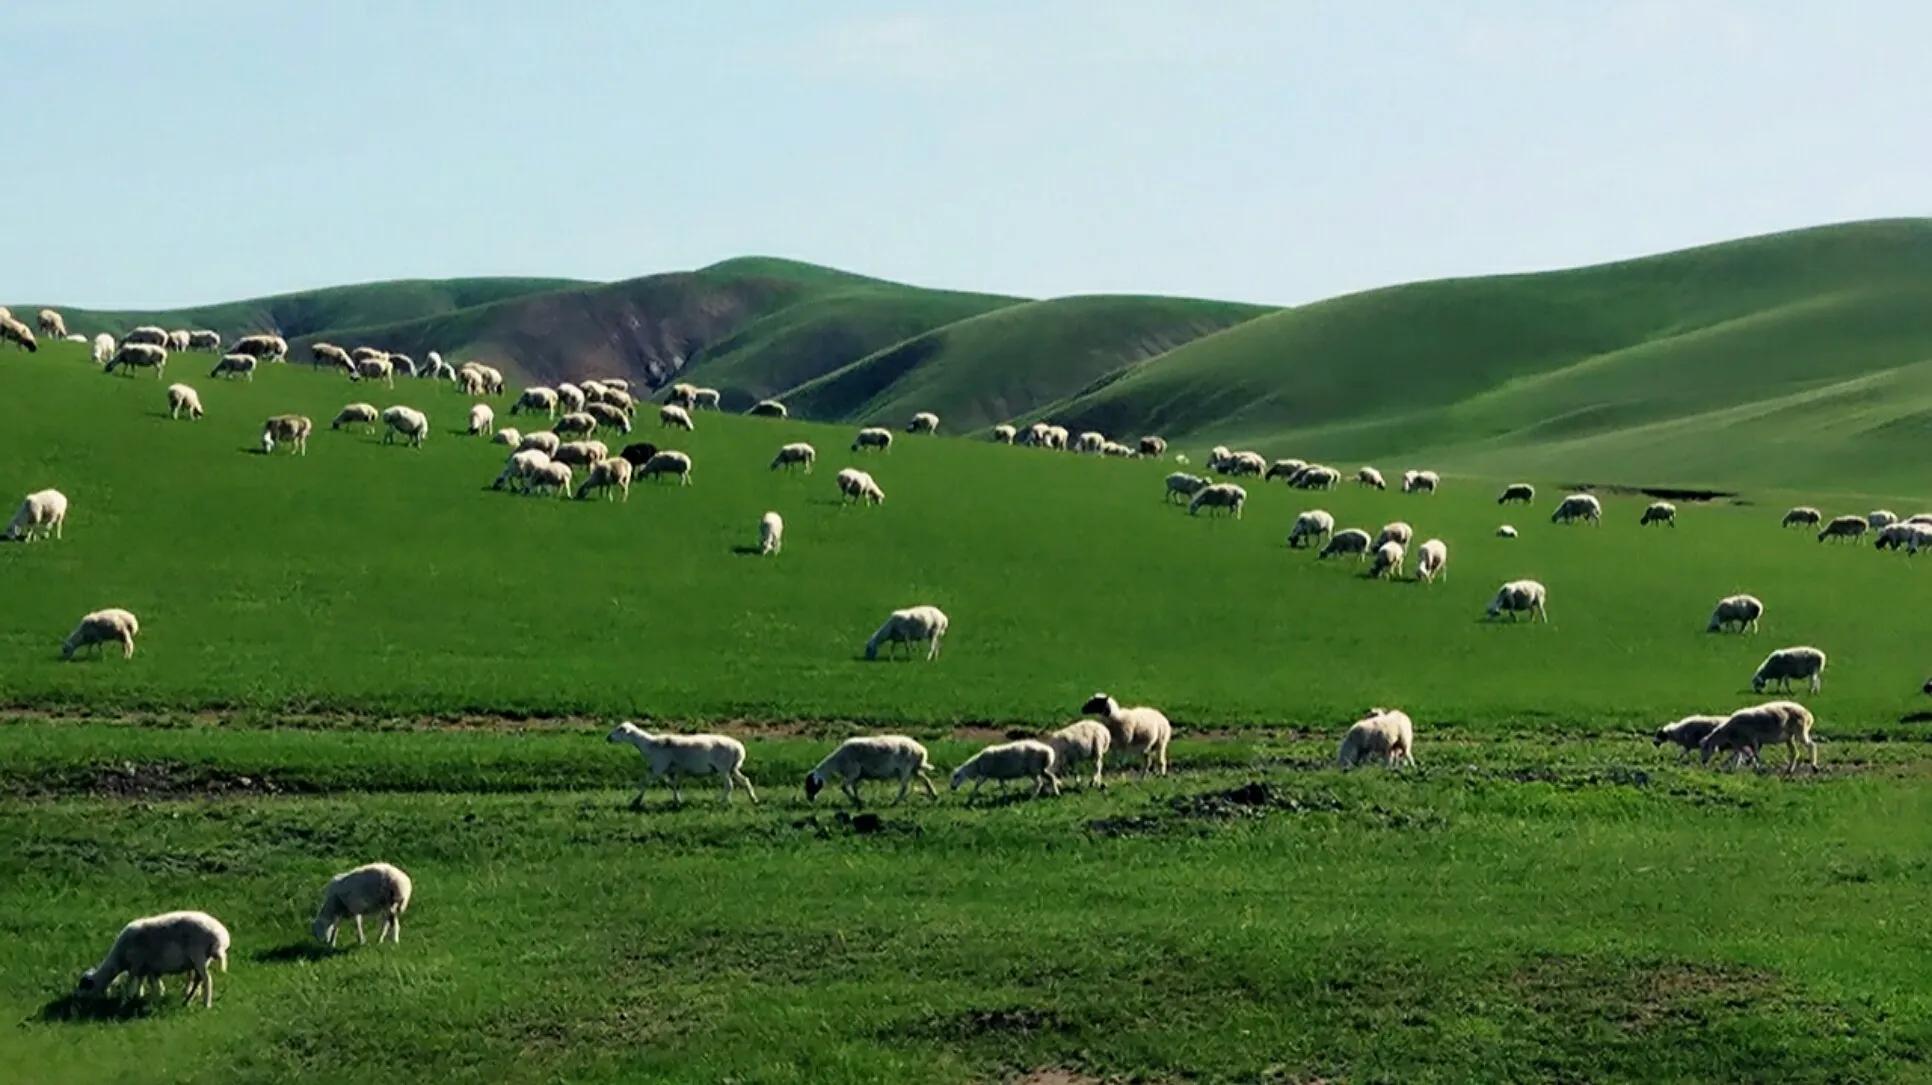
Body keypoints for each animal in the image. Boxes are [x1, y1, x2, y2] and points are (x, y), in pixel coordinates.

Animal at [76, 903, 228, 1003]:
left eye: (84, 985)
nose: (76, 998)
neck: (119, 959)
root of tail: (220, 935)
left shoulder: (136, 964)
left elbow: (130, 982)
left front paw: (125, 1001)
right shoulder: (148, 967)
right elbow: (146, 982)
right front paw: (143, 996)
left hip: (198, 956)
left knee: (207, 979)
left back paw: (206, 1004)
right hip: (201, 960)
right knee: (198, 979)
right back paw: (187, 1001)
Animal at [606, 718, 757, 803]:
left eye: (620, 729)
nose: (608, 738)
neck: (649, 744)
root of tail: (740, 749)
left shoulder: (658, 767)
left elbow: (646, 782)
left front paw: (636, 801)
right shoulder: (671, 770)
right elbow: (674, 785)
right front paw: (676, 800)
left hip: (723, 767)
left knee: (729, 784)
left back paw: (721, 801)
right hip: (733, 768)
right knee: (745, 780)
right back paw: (752, 799)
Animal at [803, 733, 938, 803]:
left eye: (811, 784)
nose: (810, 799)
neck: (837, 762)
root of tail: (921, 750)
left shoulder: (853, 772)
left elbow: (843, 787)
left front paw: (856, 801)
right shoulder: (857, 775)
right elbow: (854, 787)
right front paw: (858, 799)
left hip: (905, 768)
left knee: (904, 787)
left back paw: (894, 802)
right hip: (914, 769)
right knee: (925, 780)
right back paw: (934, 795)